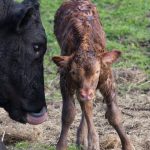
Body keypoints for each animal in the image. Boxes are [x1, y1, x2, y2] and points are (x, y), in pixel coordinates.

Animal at [52, 0, 132, 150]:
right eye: (73, 72)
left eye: (97, 71)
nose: (86, 93)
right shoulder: (65, 79)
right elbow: (69, 113)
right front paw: (61, 145)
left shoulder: (107, 79)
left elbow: (114, 115)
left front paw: (128, 145)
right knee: (85, 104)